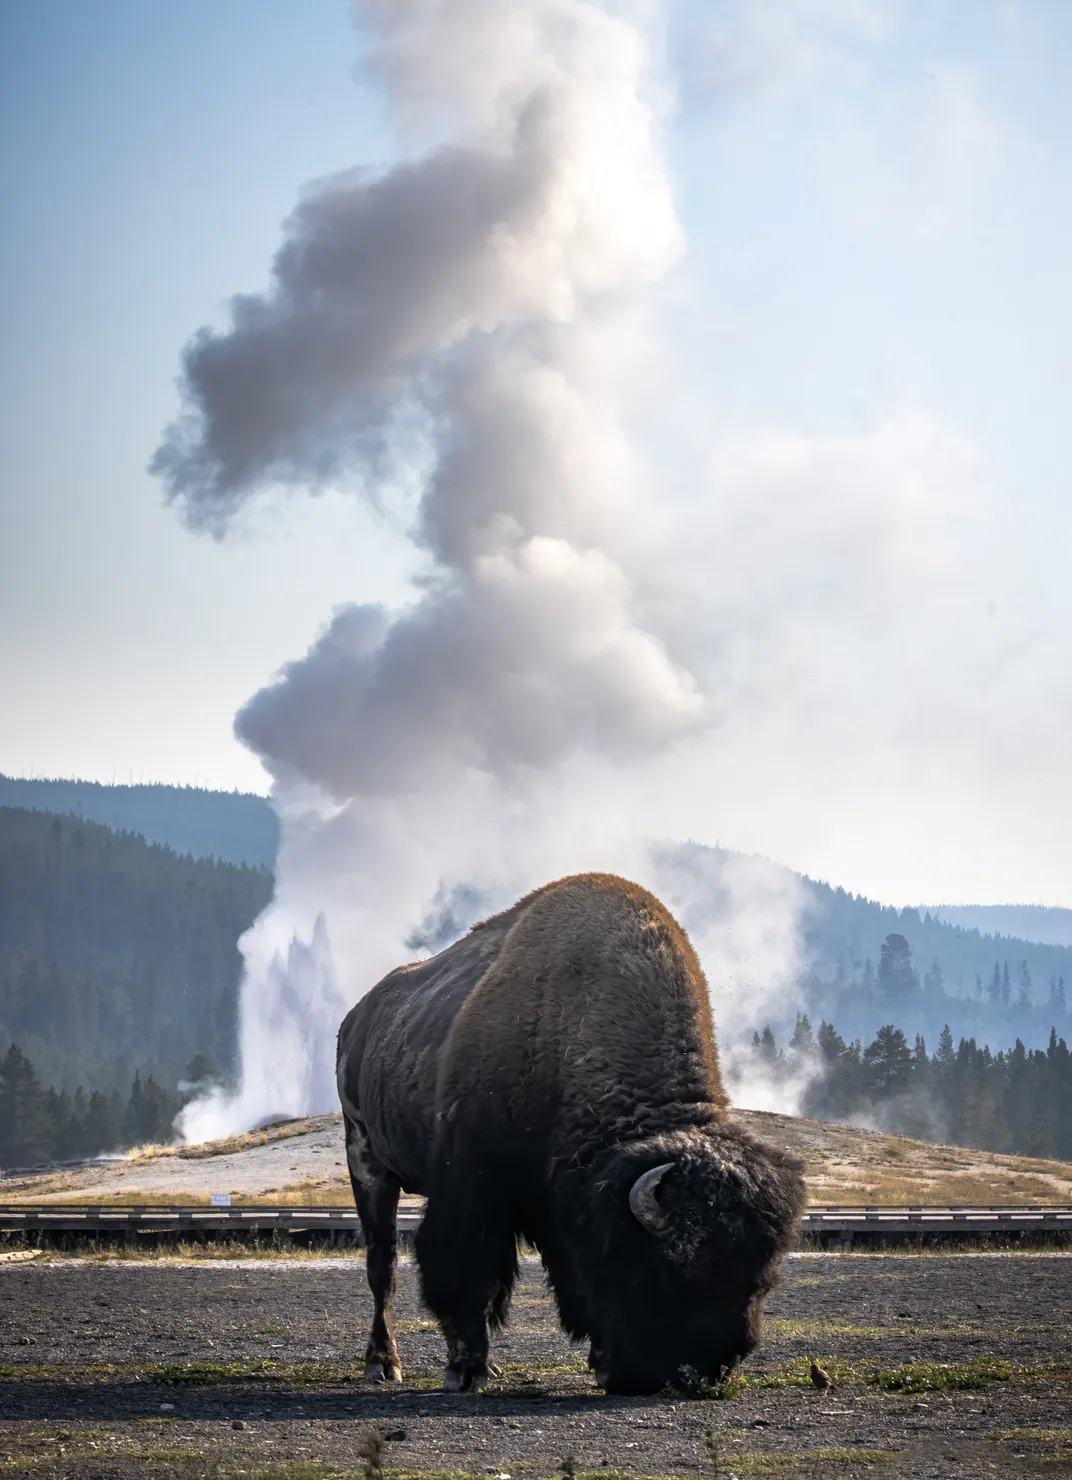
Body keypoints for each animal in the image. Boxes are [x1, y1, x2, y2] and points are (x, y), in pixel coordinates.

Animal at [334, 870, 805, 1391]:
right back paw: (384, 1363)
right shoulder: (473, 1188)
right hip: (367, 1161)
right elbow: (468, 1273)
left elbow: (562, 1276)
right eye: (671, 1272)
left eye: (763, 1274)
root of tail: (356, 1019)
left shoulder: (559, 1202)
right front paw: (465, 1370)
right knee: (383, 1267)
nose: (706, 1372)